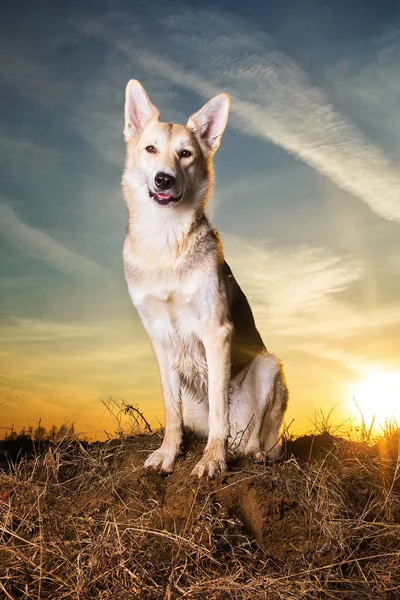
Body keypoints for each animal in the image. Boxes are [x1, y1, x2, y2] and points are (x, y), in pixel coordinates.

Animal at [121, 79, 288, 478]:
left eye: (185, 154)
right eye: (150, 149)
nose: (164, 179)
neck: (165, 242)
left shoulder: (216, 330)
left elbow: (218, 412)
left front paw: (213, 459)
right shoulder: (160, 338)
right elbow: (170, 410)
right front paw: (168, 454)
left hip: (268, 368)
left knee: (253, 438)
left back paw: (250, 454)